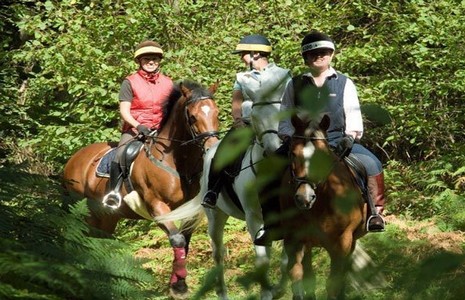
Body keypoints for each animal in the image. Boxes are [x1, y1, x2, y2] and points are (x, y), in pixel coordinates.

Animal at [61, 79, 219, 300]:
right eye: (193, 116)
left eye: (216, 113)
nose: (212, 146)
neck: (178, 162)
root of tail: (74, 158)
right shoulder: (157, 207)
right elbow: (177, 239)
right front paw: (178, 286)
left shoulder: (188, 212)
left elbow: (184, 243)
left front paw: (178, 286)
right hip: (85, 210)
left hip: (108, 216)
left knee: (100, 240)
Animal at [278, 115, 368, 300]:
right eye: (293, 153)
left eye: (323, 156)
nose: (304, 198)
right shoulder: (294, 240)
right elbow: (298, 276)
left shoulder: (342, 241)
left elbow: (333, 283)